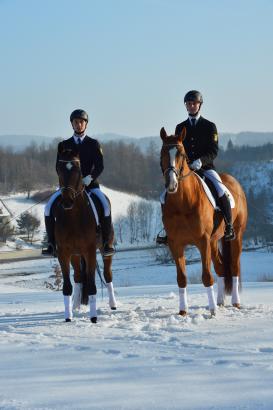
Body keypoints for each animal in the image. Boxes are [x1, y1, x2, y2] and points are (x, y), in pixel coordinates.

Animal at [53, 144, 116, 324]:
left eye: (78, 169)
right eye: (59, 168)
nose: (67, 201)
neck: (73, 215)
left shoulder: (90, 251)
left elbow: (93, 285)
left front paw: (93, 317)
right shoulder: (63, 253)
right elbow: (67, 286)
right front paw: (68, 317)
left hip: (104, 250)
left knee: (108, 275)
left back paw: (113, 304)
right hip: (75, 255)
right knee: (79, 278)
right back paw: (74, 307)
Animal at [159, 126, 246, 316]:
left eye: (181, 153)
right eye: (162, 153)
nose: (171, 184)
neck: (183, 201)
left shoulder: (202, 241)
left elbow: (206, 276)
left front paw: (212, 312)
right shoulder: (176, 244)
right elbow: (181, 278)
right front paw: (183, 312)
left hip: (236, 236)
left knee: (234, 266)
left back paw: (235, 303)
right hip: (213, 241)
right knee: (221, 267)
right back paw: (220, 301)